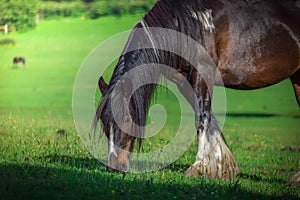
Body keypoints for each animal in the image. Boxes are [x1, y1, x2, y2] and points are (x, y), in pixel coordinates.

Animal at [94, 0, 300, 184]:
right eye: (104, 120)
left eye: (126, 119)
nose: (114, 165)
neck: (185, 25)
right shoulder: (184, 81)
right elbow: (208, 117)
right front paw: (221, 167)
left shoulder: (203, 73)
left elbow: (202, 118)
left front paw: (199, 167)